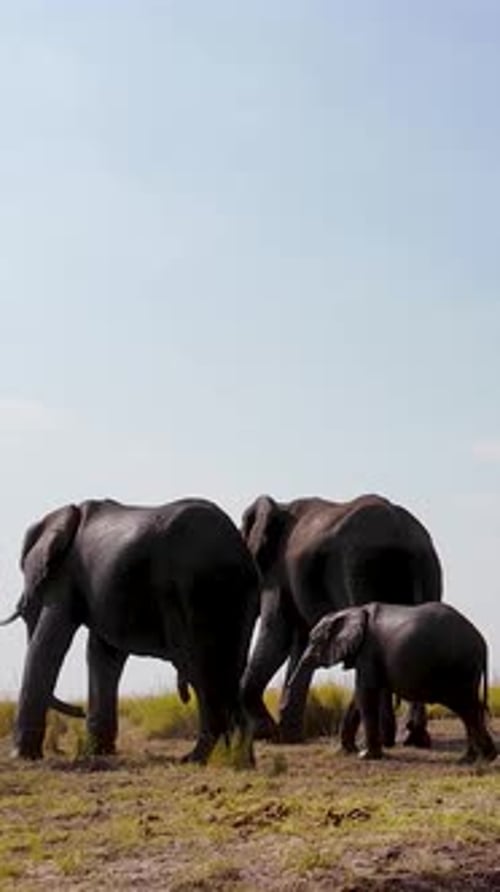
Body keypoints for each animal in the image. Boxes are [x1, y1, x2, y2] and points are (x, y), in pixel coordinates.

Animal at [1, 497, 259, 763]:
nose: (79, 710)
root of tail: (235, 549)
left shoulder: (66, 576)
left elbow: (49, 642)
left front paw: (21, 756)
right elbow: (103, 653)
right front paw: (98, 753)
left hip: (195, 590)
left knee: (201, 671)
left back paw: (195, 759)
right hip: (235, 595)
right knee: (229, 671)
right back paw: (240, 762)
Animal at [240, 494, 442, 746]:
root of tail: (403, 531)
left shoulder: (277, 574)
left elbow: (278, 634)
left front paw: (265, 734)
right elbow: (301, 640)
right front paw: (288, 736)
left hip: (360, 565)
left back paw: (378, 740)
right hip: (426, 568)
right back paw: (410, 738)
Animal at [288, 602, 497, 762]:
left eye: (314, 641)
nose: (288, 683)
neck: (352, 611)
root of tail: (482, 643)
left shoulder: (368, 651)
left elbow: (366, 693)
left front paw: (366, 756)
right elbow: (358, 696)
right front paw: (348, 752)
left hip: (458, 667)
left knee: (466, 706)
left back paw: (485, 757)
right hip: (466, 668)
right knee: (470, 707)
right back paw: (473, 758)